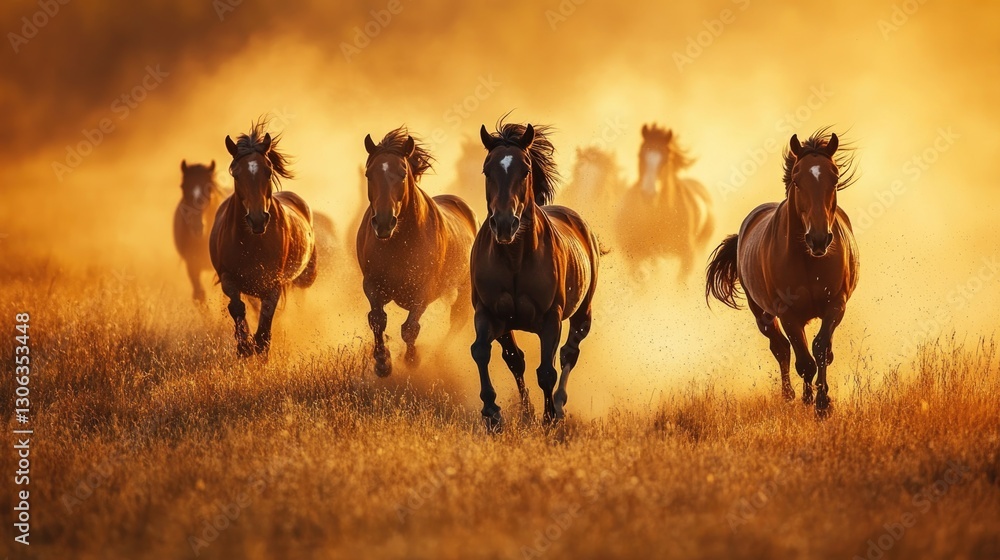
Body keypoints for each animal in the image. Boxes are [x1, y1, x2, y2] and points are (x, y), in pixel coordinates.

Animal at [209, 120, 318, 357]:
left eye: (268, 172)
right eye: (235, 174)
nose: (258, 219)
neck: (252, 242)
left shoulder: (273, 282)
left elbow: (267, 314)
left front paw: (259, 346)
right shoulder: (227, 276)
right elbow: (237, 307)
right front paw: (244, 346)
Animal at [357, 127, 478, 377]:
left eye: (403, 173)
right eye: (369, 174)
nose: (384, 222)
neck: (398, 242)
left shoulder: (423, 289)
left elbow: (410, 328)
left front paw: (411, 360)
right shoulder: (372, 284)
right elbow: (377, 320)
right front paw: (382, 362)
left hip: (463, 289)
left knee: (457, 320)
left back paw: (439, 357)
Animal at [471, 121, 600, 431]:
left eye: (526, 170)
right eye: (487, 170)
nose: (505, 223)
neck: (515, 258)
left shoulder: (550, 319)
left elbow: (547, 371)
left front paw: (549, 418)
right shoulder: (488, 312)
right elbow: (486, 352)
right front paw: (493, 412)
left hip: (583, 313)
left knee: (569, 354)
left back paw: (560, 406)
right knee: (517, 359)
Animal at [705, 129, 859, 417]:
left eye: (834, 178)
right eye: (797, 181)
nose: (819, 239)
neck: (809, 261)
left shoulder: (836, 305)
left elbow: (821, 350)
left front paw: (823, 404)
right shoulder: (788, 314)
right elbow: (804, 361)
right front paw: (812, 401)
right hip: (762, 314)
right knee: (781, 349)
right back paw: (789, 396)